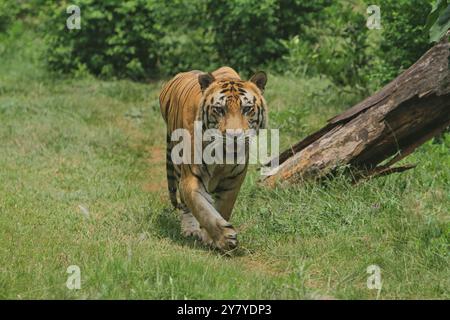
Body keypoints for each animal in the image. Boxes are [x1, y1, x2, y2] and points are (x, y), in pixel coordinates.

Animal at [159, 66, 268, 251]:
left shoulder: (233, 181)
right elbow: (203, 209)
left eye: (247, 109)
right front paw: (224, 238)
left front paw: (211, 239)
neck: (222, 154)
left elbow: (222, 209)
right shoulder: (191, 178)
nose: (234, 136)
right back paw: (190, 229)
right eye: (219, 110)